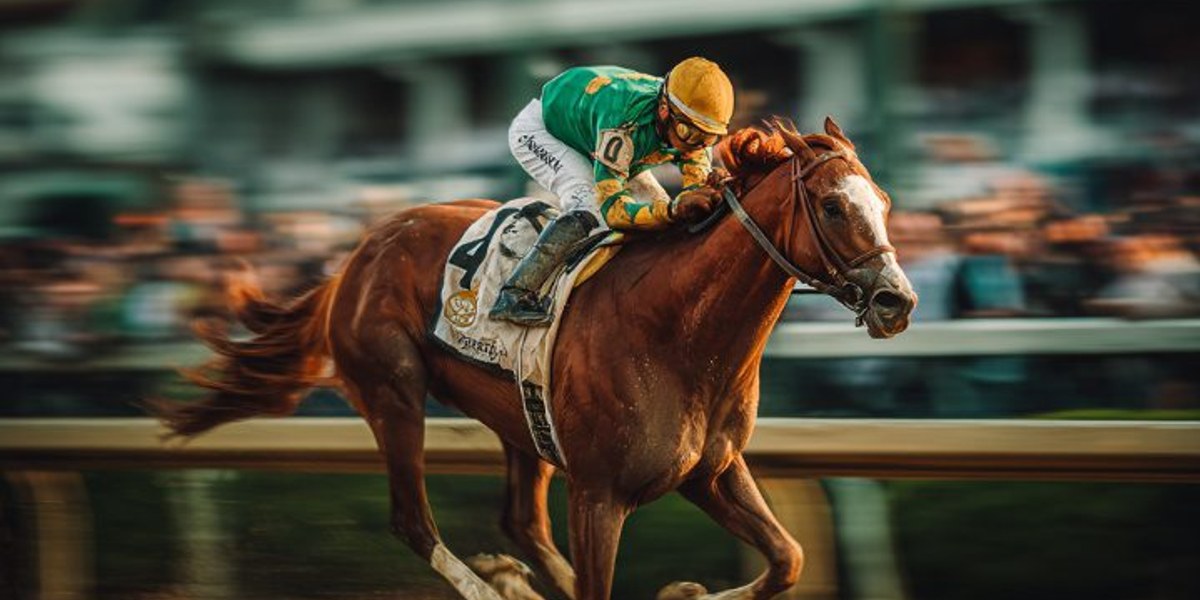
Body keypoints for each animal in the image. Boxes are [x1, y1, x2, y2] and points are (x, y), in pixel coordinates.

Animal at [151, 117, 916, 600]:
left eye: (882, 201)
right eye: (832, 205)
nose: (897, 301)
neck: (680, 335)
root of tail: (355, 256)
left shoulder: (709, 470)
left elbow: (789, 558)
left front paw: (682, 590)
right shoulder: (599, 494)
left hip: (522, 420)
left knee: (519, 519)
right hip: (393, 391)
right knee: (413, 522)